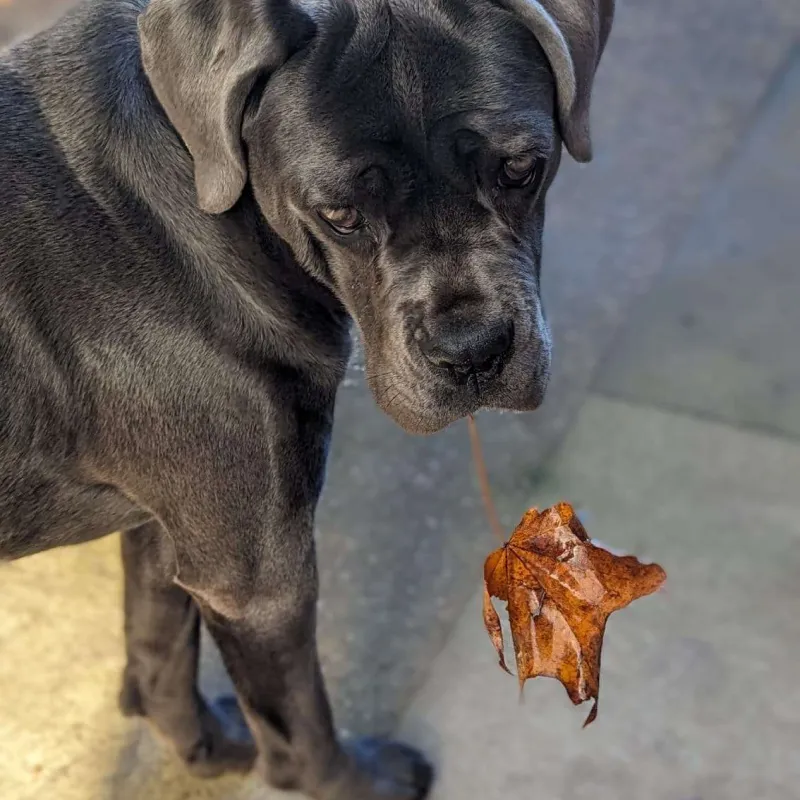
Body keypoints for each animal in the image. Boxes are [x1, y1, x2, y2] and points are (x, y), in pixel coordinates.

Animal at [0, 0, 612, 796]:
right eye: (340, 213)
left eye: (520, 169)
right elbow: (304, 731)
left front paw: (207, 746)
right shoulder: (261, 581)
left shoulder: (183, 531)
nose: (473, 351)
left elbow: (159, 646)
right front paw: (360, 782)